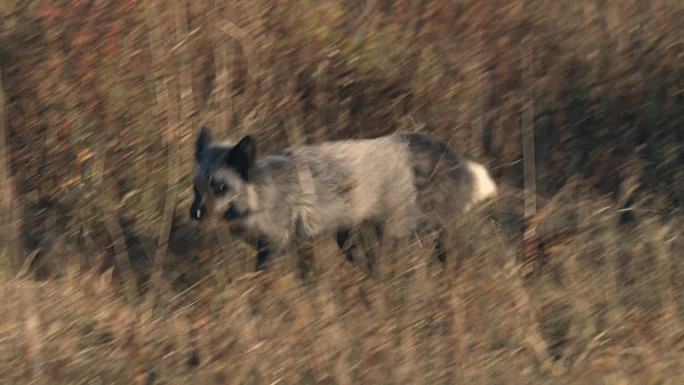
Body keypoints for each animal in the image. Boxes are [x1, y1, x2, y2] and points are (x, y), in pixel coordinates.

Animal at [188, 126, 496, 270]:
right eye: (196, 188)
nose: (196, 214)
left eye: (220, 187)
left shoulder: (277, 243)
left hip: (402, 226)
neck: (265, 190)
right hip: (354, 235)